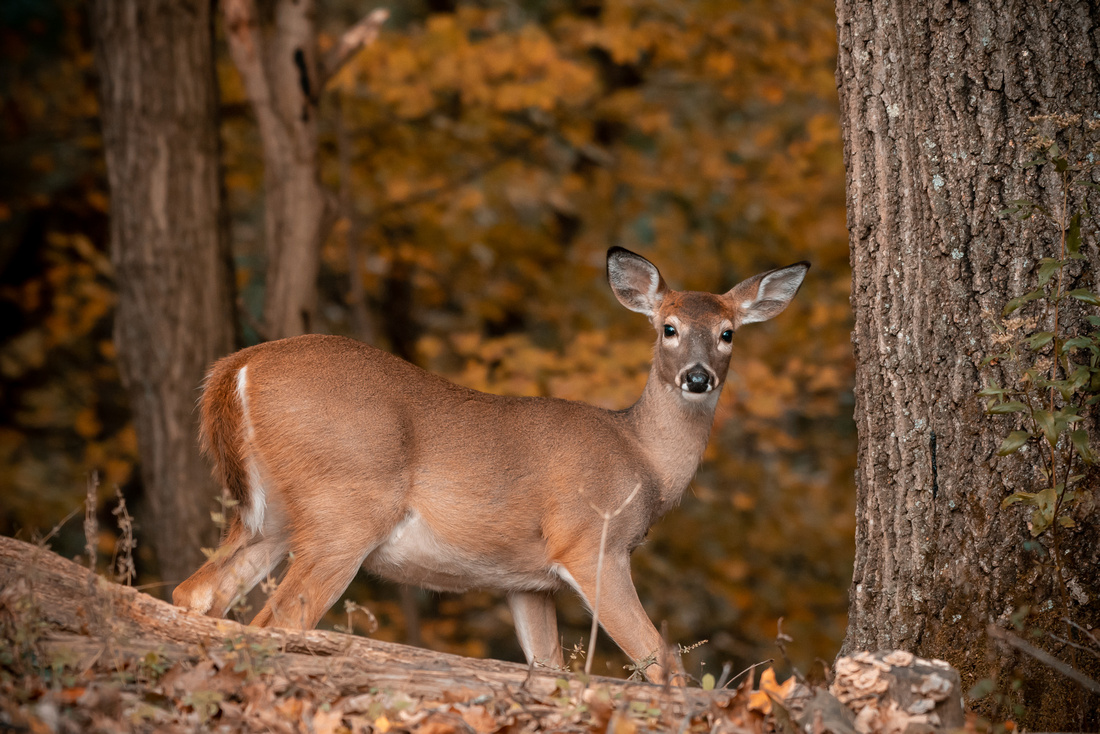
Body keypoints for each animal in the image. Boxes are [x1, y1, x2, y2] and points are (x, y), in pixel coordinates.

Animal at [172, 246, 809, 684]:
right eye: (668, 328)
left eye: (728, 333)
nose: (697, 377)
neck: (642, 458)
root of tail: (235, 369)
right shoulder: (590, 542)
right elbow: (662, 662)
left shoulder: (527, 582)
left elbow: (549, 669)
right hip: (344, 510)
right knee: (276, 622)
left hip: (270, 515)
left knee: (198, 595)